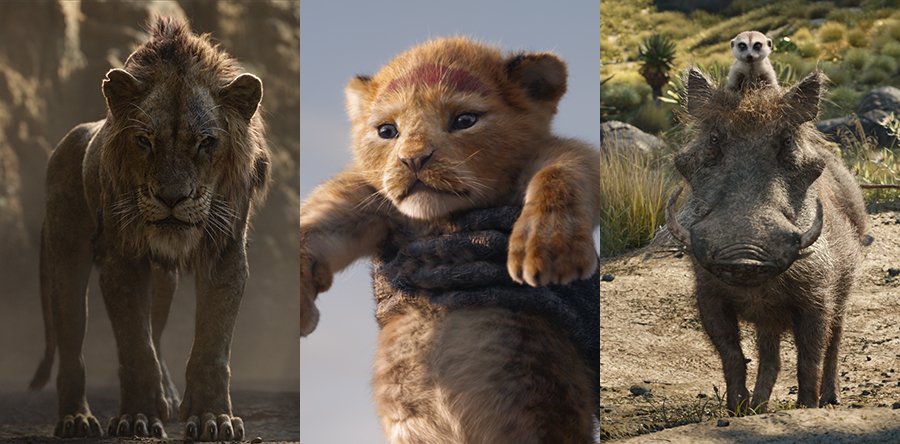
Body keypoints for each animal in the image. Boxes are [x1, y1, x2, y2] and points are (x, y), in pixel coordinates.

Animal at [28, 17, 269, 441]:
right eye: (144, 141)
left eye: (206, 143)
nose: (172, 197)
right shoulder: (122, 259)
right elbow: (135, 348)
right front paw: (137, 418)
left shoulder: (224, 253)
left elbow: (211, 347)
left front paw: (212, 419)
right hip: (66, 259)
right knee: (73, 346)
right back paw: (76, 419)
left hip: (162, 281)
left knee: (156, 332)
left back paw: (168, 397)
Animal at [300, 37, 600, 443]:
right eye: (387, 130)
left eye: (464, 121)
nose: (413, 159)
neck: (439, 221)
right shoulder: (366, 197)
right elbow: (315, 221)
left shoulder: (561, 156)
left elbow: (562, 171)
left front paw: (549, 248)